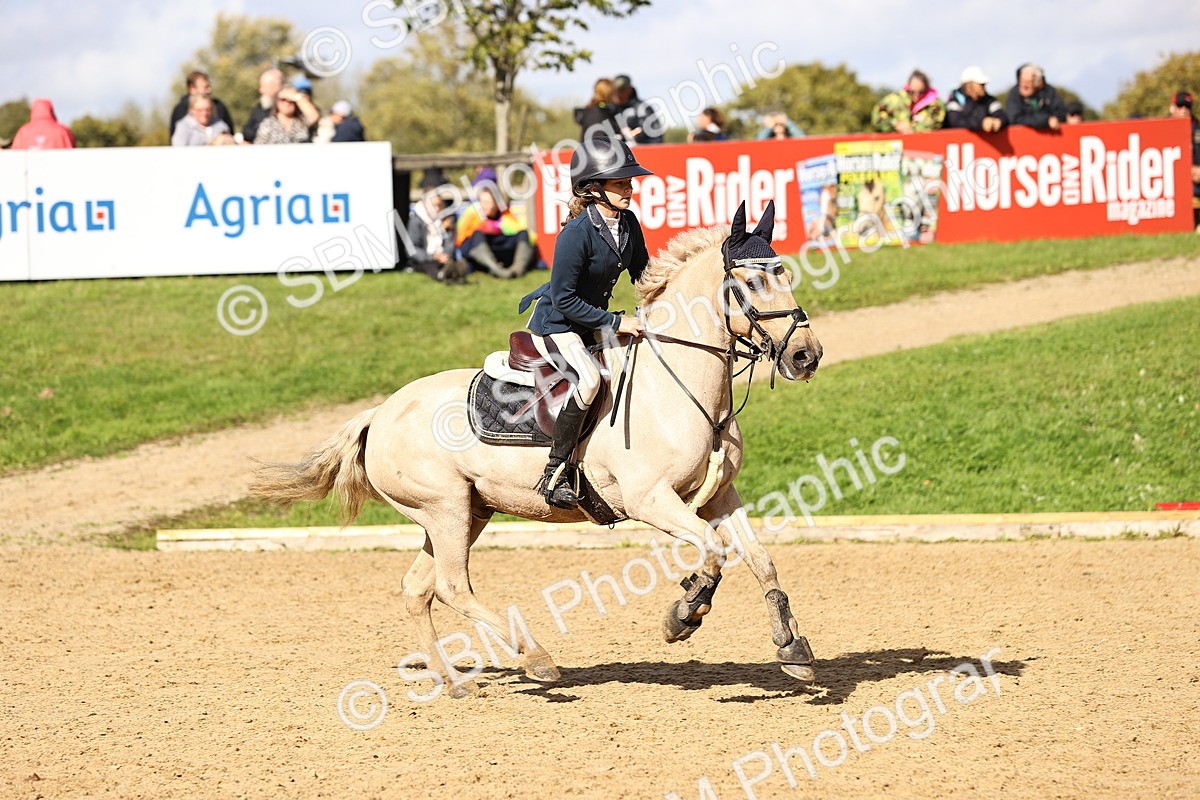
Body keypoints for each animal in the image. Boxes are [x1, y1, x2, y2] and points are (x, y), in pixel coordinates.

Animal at [250, 200, 824, 696]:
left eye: (785, 275)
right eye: (750, 282)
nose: (806, 355)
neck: (680, 383)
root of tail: (381, 412)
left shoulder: (720, 496)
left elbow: (761, 560)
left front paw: (791, 648)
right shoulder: (652, 500)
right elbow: (712, 551)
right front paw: (683, 615)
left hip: (465, 512)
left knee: (419, 589)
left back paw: (456, 683)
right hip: (446, 508)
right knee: (452, 587)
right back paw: (536, 658)